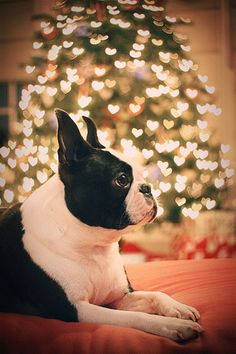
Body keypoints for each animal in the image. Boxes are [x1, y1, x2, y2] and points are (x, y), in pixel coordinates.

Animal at [0, 110, 203, 340]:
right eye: (122, 180)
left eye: (143, 175)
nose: (147, 187)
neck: (92, 245)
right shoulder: (77, 310)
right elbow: (135, 318)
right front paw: (174, 325)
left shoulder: (118, 296)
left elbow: (155, 295)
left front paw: (178, 308)